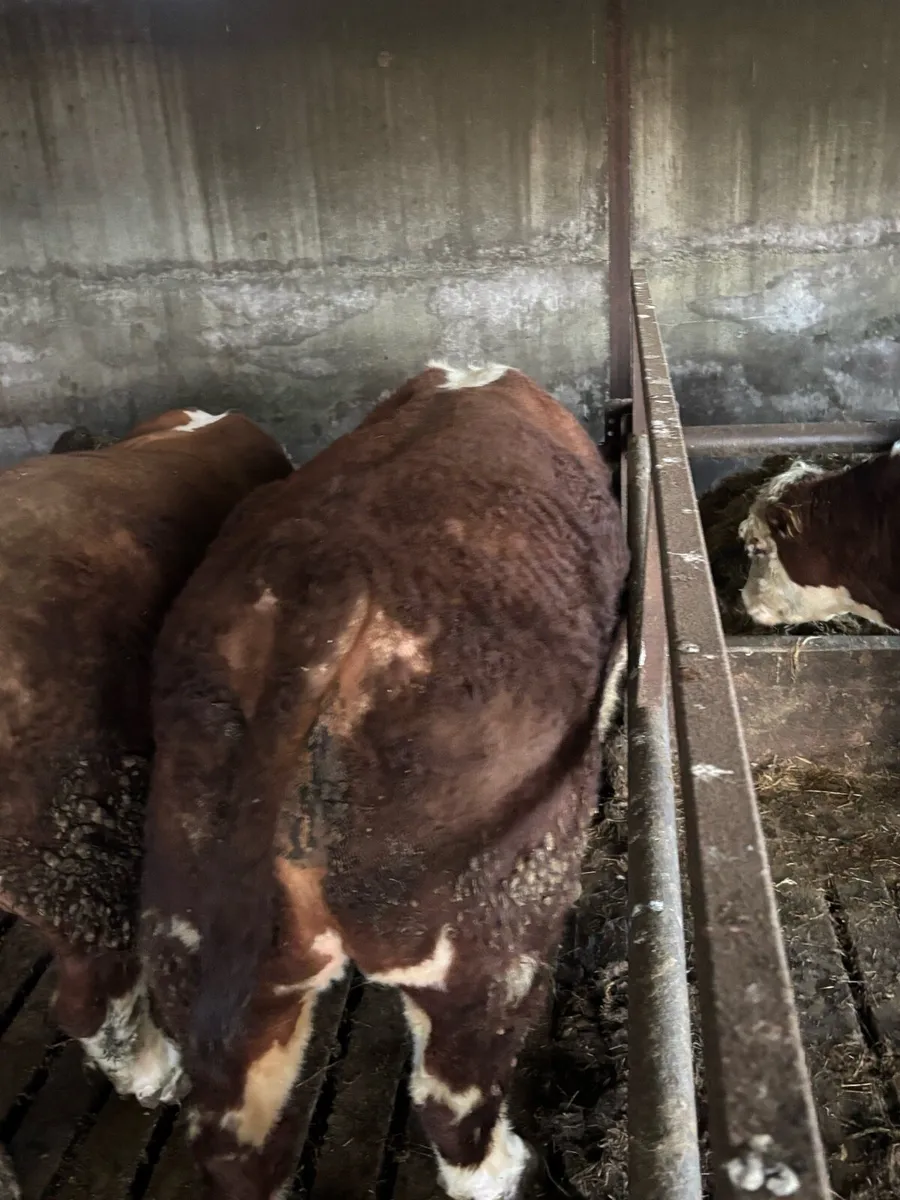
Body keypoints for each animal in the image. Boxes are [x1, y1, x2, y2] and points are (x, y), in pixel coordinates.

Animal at [139, 363, 629, 1200]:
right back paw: (498, 1167)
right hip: (489, 932)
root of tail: (323, 581)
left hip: (193, 924)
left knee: (235, 1130)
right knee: (452, 1096)